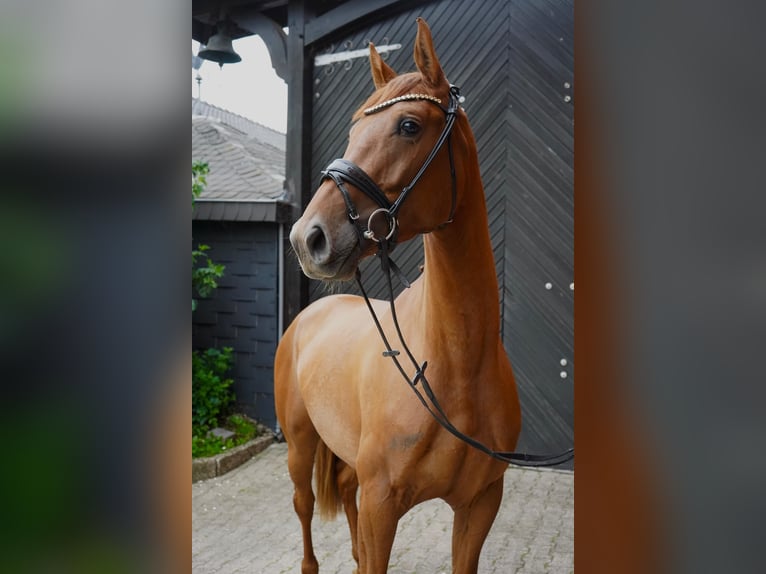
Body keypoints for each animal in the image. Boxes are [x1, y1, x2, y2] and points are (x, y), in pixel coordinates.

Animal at [276, 16, 520, 572]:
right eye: (352, 131)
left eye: (409, 126)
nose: (308, 238)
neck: (453, 368)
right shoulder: (382, 504)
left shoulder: (480, 504)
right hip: (300, 446)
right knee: (303, 507)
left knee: (345, 499)